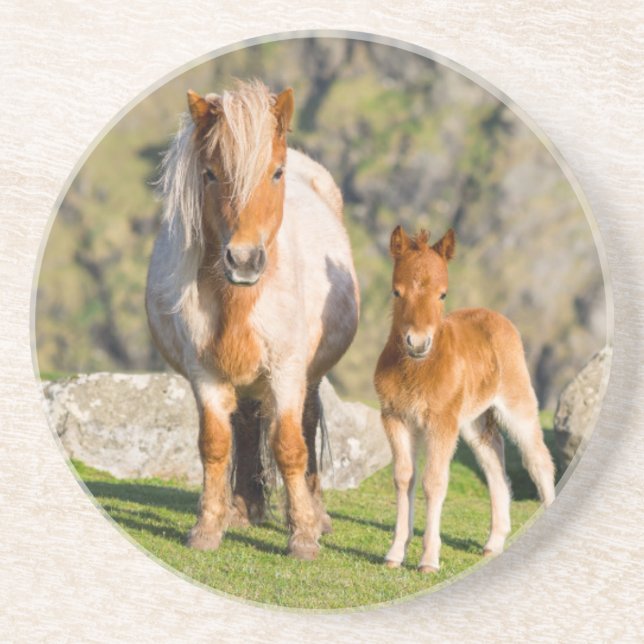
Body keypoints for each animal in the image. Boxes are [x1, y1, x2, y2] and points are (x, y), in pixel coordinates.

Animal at [145, 80, 359, 560]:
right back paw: (245, 509)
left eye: (276, 173)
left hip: (308, 375)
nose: (243, 260)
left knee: (306, 425)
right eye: (209, 174)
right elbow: (214, 445)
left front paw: (303, 537)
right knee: (244, 424)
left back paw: (316, 515)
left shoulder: (286, 370)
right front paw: (208, 528)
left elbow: (290, 446)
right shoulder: (204, 374)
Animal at [373, 225, 555, 572]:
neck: (417, 369)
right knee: (494, 459)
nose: (418, 343)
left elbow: (434, 482)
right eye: (396, 292)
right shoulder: (395, 418)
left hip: (517, 404)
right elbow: (404, 478)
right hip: (473, 421)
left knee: (538, 459)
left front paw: (429, 559)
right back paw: (494, 543)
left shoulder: (441, 422)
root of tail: (496, 317)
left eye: (442, 294)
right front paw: (395, 552)